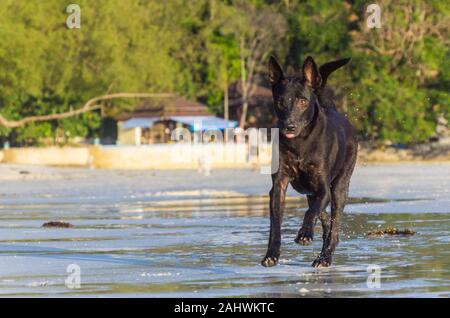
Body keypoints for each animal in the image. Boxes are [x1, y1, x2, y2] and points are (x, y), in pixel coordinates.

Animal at [262, 55, 356, 268]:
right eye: (281, 101)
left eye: (303, 101)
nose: (289, 126)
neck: (300, 143)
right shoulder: (279, 186)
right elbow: (275, 224)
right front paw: (272, 254)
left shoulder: (323, 187)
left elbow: (310, 212)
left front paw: (305, 234)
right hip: (310, 191)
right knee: (325, 218)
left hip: (339, 187)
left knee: (333, 223)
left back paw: (324, 257)